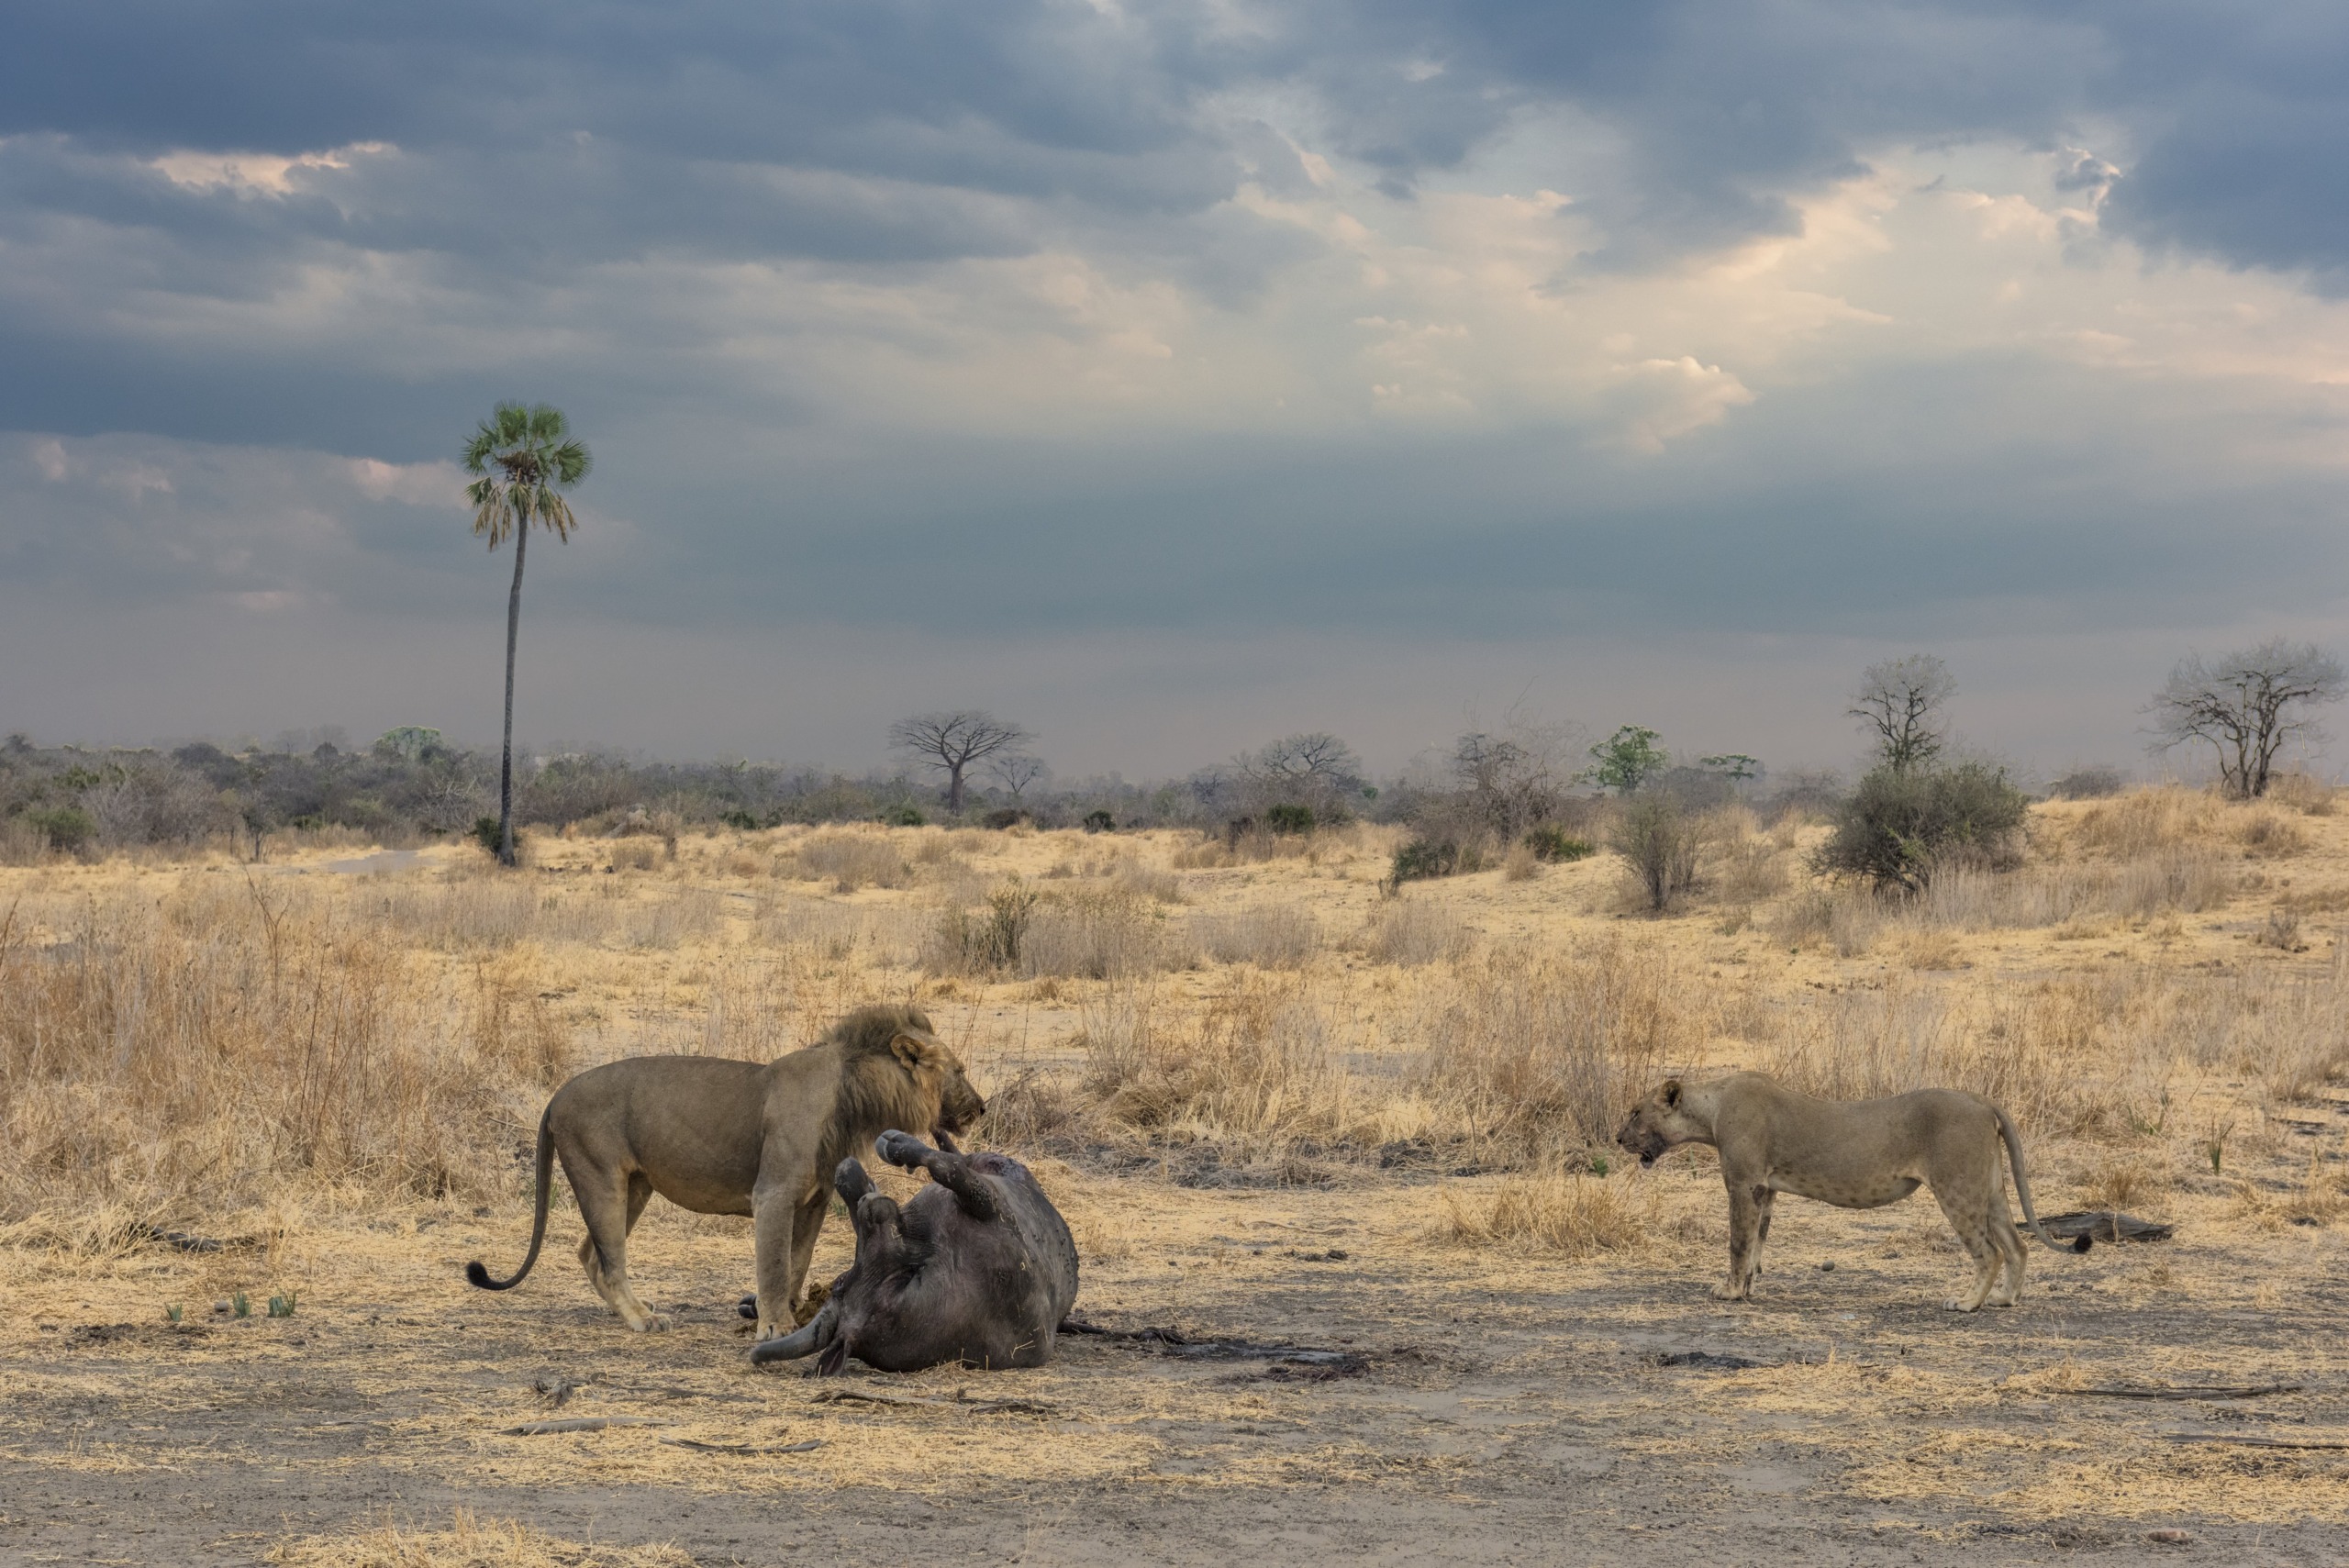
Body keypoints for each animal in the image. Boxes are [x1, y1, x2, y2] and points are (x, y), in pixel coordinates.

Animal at [467, 1004, 982, 1333]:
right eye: (958, 1071)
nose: (981, 1107)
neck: (854, 1093)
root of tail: (556, 1096)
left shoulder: (813, 1202)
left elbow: (796, 1263)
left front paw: (790, 1313)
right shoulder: (773, 1193)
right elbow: (773, 1263)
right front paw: (775, 1328)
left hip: (635, 1187)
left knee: (589, 1254)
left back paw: (630, 1310)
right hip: (601, 1178)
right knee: (609, 1261)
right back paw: (642, 1319)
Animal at [751, 1127, 1080, 1371]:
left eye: (840, 1281)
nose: (867, 1203)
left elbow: (945, 1165)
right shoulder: (988, 1203)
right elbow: (945, 1167)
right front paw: (895, 1145)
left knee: (956, 1153)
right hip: (998, 1167)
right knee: (955, 1156)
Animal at [1616, 1065, 2095, 1314]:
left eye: (1636, 1112)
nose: (1618, 1138)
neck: (1711, 1110)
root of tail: (1982, 1100)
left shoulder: (1743, 1182)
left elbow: (1737, 1242)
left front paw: (1729, 1292)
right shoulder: (1766, 1189)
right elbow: (1756, 1246)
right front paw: (1747, 1289)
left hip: (1957, 1187)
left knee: (1989, 1251)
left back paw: (1967, 1302)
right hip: (1990, 1187)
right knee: (2017, 1245)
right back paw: (2004, 1299)